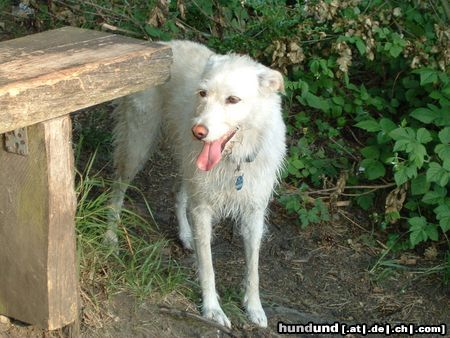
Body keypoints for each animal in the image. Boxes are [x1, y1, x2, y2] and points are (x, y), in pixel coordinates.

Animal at [106, 40, 284, 328]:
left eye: (233, 99)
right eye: (203, 93)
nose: (198, 132)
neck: (234, 160)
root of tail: (162, 44)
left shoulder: (254, 213)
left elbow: (253, 267)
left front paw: (254, 307)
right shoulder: (203, 210)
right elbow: (208, 266)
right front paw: (212, 309)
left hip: (187, 166)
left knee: (178, 193)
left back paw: (185, 234)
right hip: (138, 144)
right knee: (118, 187)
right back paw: (110, 234)